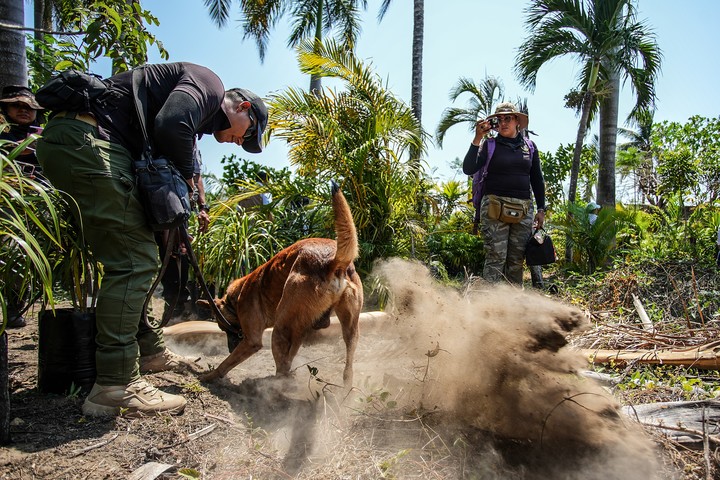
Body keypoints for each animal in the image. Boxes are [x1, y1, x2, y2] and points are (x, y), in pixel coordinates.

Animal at [197, 181, 362, 386]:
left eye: (222, 327)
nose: (229, 348)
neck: (236, 298)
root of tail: (334, 262)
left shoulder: (252, 340)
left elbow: (226, 363)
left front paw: (210, 376)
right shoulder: (299, 331)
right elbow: (289, 358)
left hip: (279, 331)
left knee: (280, 369)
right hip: (350, 328)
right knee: (348, 366)